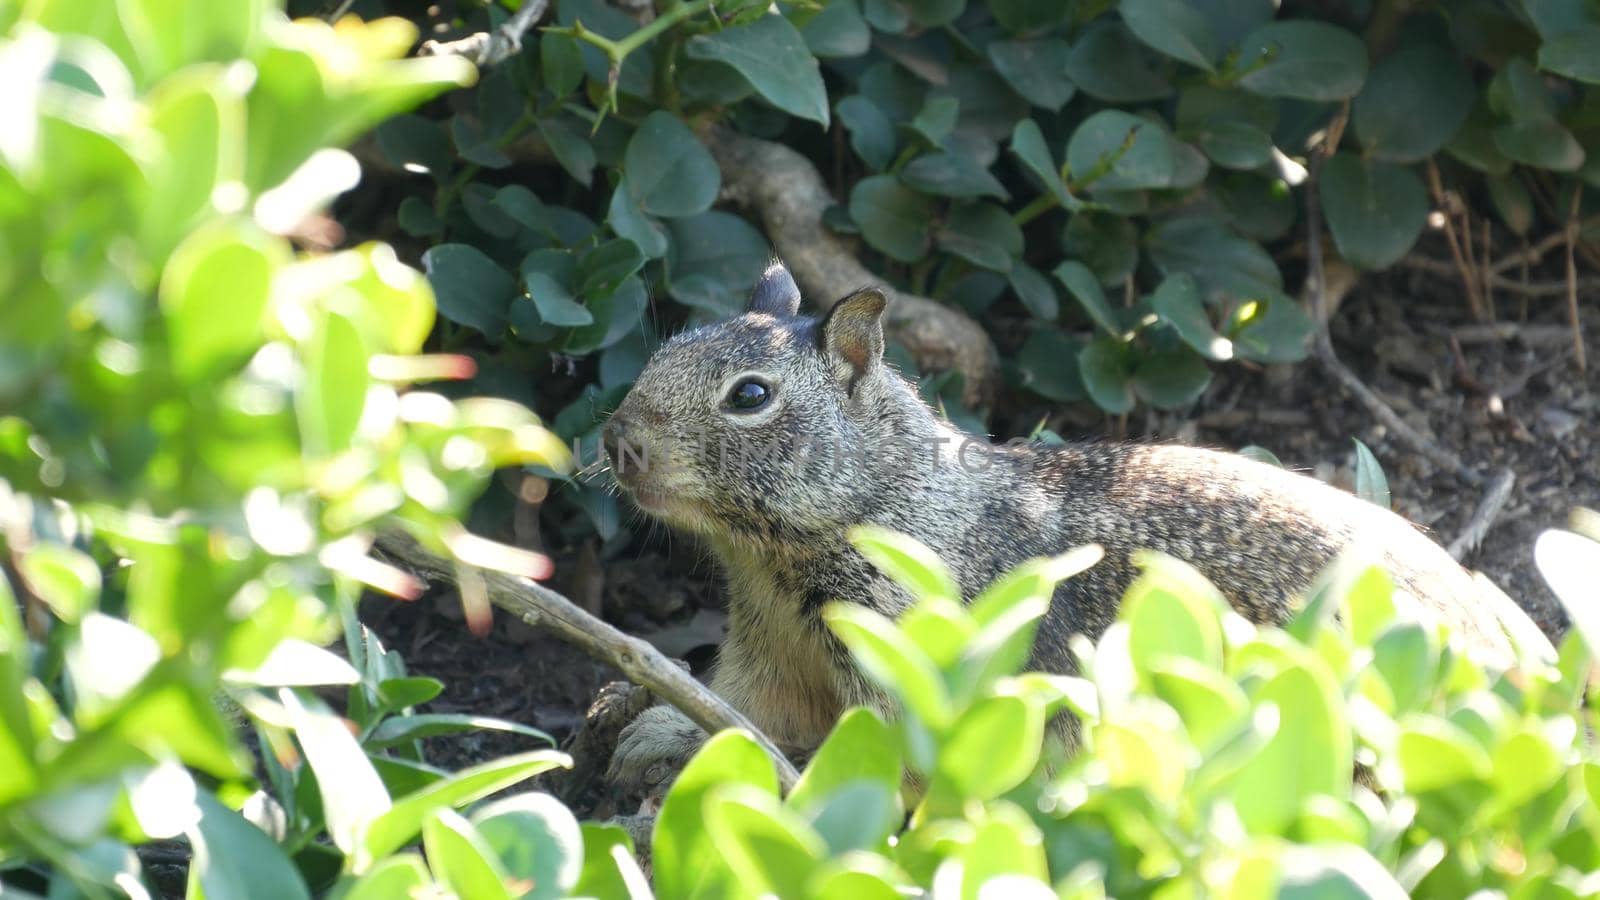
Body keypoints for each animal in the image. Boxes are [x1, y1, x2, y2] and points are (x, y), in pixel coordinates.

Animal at [601, 261, 1510, 791]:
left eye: (750, 396)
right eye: (667, 346)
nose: (618, 440)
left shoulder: (898, 662)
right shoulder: (766, 651)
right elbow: (732, 706)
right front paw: (650, 729)